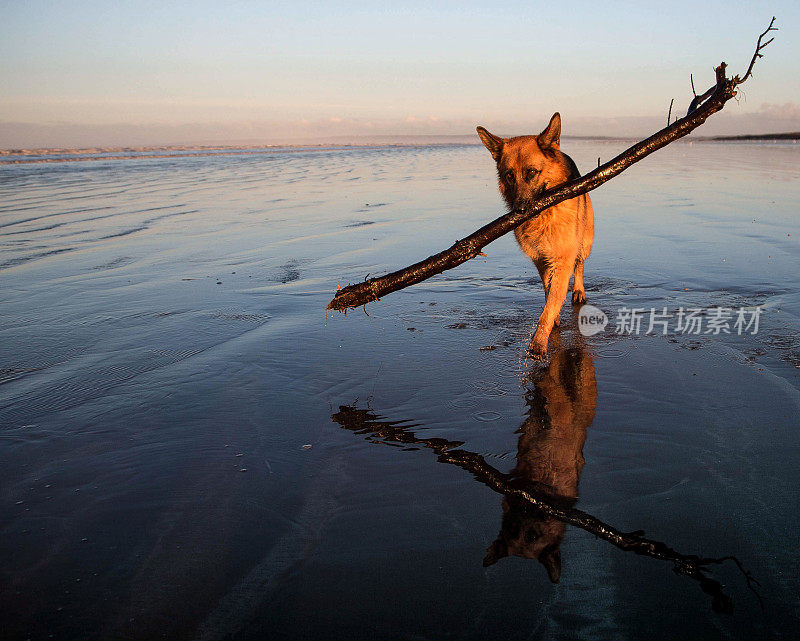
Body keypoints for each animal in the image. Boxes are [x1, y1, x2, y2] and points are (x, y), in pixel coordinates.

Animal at [478, 112, 592, 358]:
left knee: (580, 264)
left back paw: (578, 290)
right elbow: (550, 293)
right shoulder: (541, 260)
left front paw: (539, 340)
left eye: (531, 172)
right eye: (509, 176)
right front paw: (553, 315)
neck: (546, 215)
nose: (520, 210)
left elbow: (551, 301)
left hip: (585, 242)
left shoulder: (562, 259)